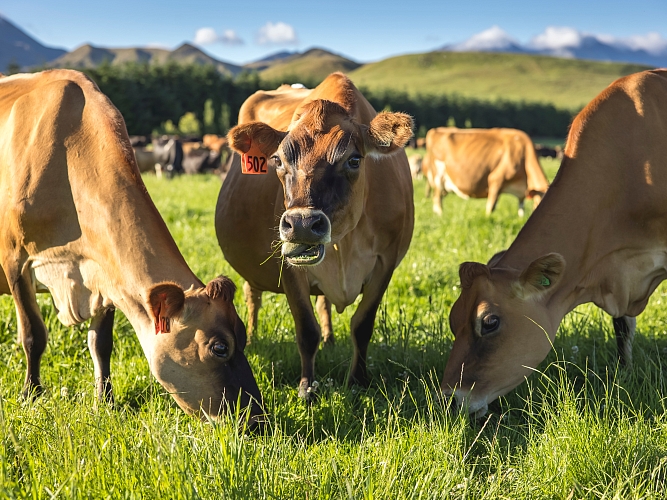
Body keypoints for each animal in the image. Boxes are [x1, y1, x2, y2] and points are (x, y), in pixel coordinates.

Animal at [0, 69, 262, 423]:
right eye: (220, 347)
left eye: (244, 335)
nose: (258, 418)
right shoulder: (15, 260)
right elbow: (33, 335)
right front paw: (31, 393)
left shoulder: (105, 272)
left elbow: (101, 343)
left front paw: (105, 400)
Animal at [215, 72, 414, 398]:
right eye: (278, 160)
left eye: (354, 160)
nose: (302, 224)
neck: (343, 245)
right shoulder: (288, 266)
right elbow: (307, 330)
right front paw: (307, 387)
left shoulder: (386, 262)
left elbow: (363, 324)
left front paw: (358, 380)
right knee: (252, 295)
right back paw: (254, 336)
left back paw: (331, 339)